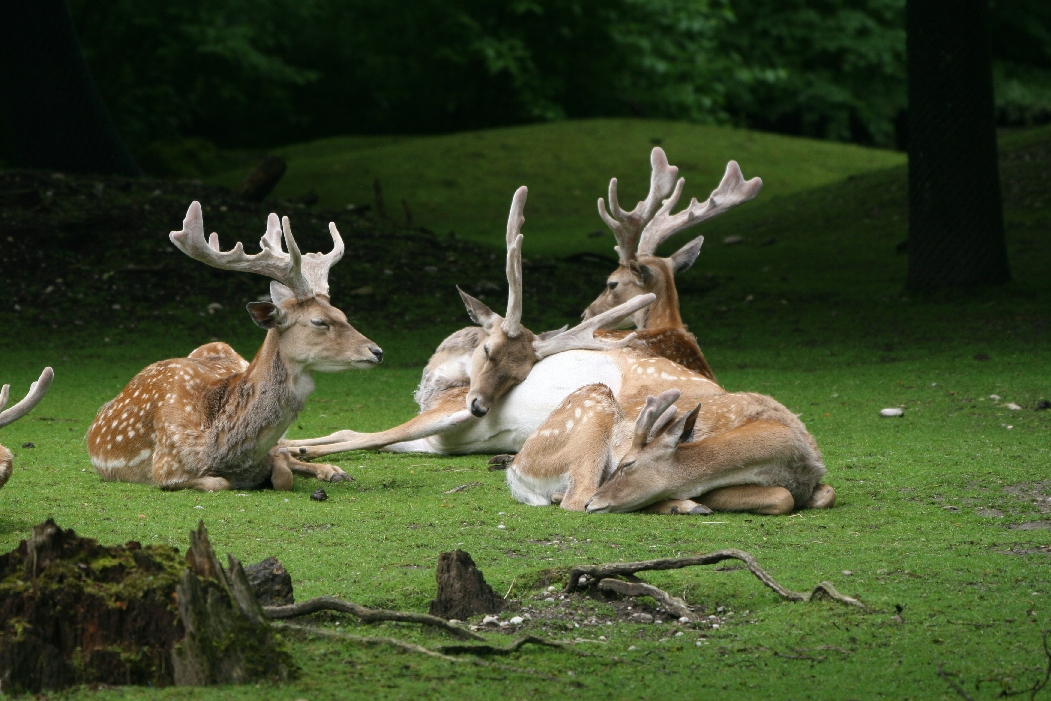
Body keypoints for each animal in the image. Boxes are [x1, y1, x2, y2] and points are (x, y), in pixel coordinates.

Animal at [86, 202, 383, 491]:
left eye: (343, 314)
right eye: (320, 322)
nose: (376, 351)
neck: (222, 451)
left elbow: (283, 470)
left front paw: (322, 470)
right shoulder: (166, 467)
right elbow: (221, 483)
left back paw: (334, 470)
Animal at [280, 186, 659, 458]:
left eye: (521, 375)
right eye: (488, 351)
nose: (479, 408)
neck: (436, 389)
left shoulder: (442, 414)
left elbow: (362, 437)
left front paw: (297, 449)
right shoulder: (432, 442)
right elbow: (352, 432)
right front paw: (287, 443)